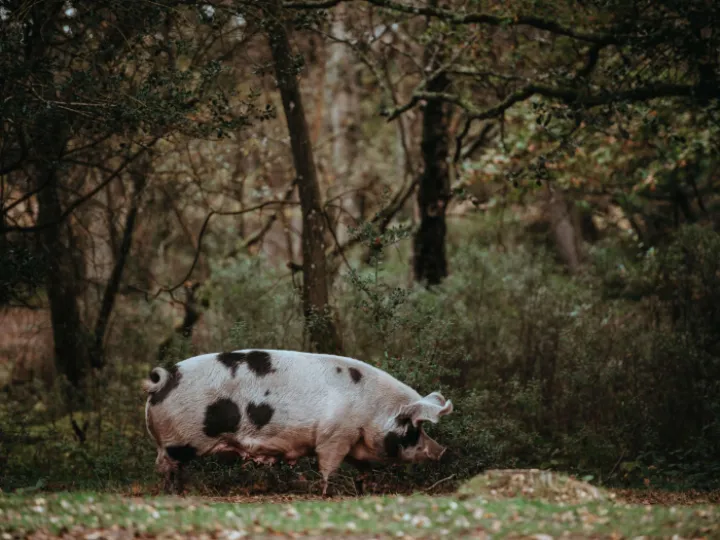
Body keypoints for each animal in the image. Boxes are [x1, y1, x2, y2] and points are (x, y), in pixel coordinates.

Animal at [143, 349, 454, 495]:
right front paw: (327, 494)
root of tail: (164, 380)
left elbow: (363, 470)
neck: (373, 410)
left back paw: (181, 492)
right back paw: (173, 493)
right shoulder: (334, 436)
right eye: (415, 427)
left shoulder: (353, 441)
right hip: (178, 441)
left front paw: (365, 490)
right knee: (165, 466)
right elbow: (328, 467)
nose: (442, 451)